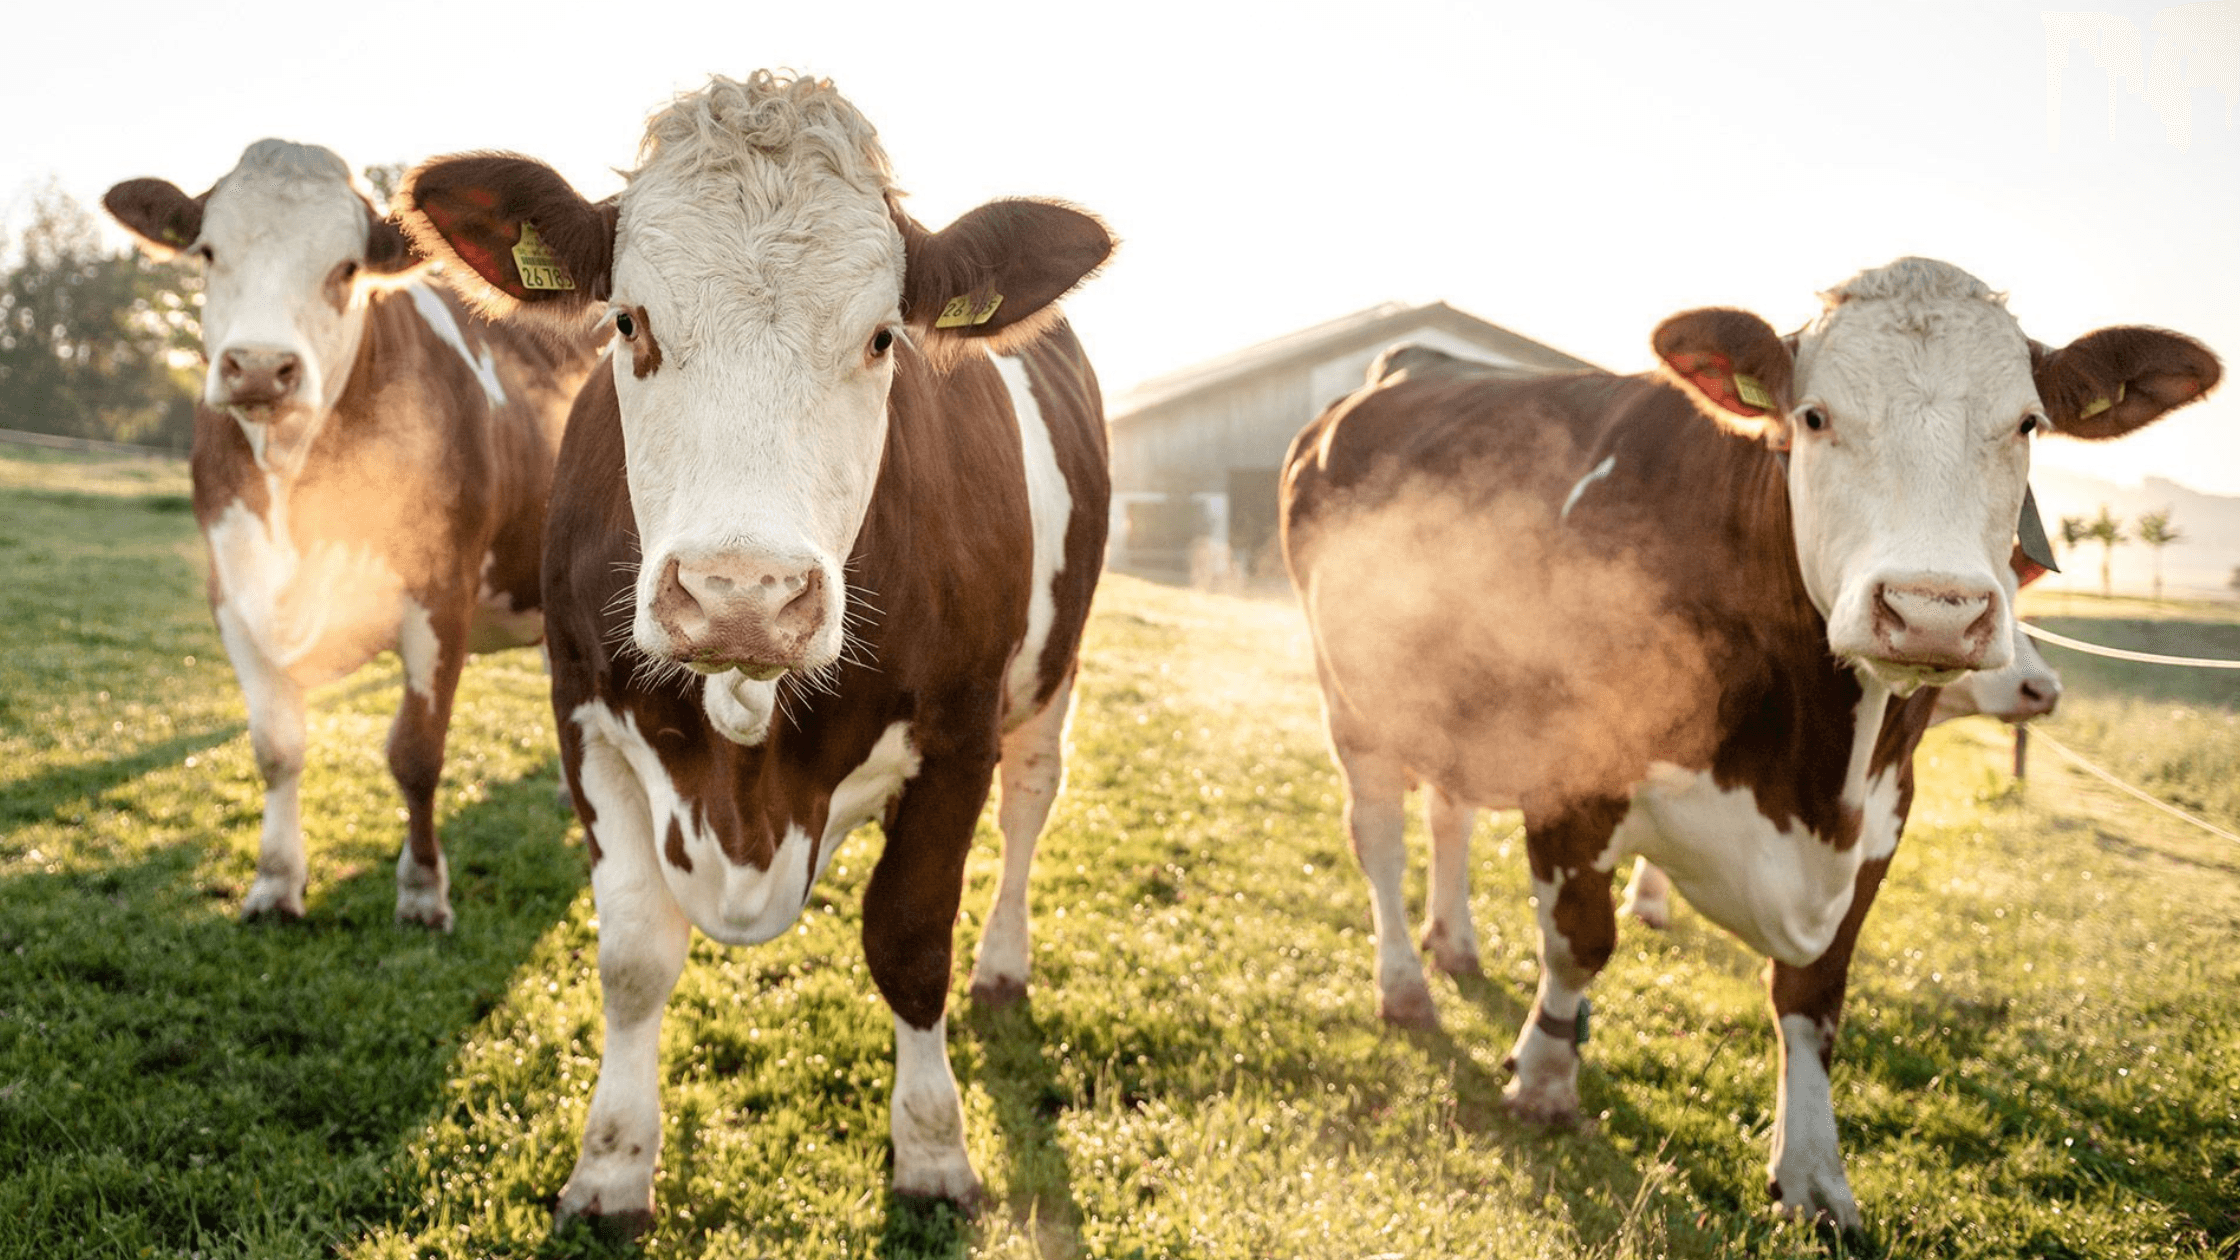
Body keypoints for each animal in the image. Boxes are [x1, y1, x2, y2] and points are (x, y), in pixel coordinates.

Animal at [103, 142, 595, 928]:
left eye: (346, 268)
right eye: (208, 251)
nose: (261, 367)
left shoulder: (440, 599)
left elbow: (415, 755)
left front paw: (422, 890)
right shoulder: (232, 594)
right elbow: (276, 748)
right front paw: (275, 882)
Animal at [394, 71, 1111, 1228]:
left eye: (882, 338)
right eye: (628, 321)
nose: (742, 594)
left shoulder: (958, 735)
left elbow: (912, 940)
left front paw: (932, 1151)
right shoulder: (585, 717)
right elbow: (632, 958)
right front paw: (611, 1164)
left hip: (1052, 673)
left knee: (1032, 802)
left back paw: (1005, 966)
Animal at [1281, 260, 2222, 1219]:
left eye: (2028, 422)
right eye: (1813, 416)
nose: (1932, 611)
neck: (1813, 775)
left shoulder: (1884, 816)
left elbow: (1812, 996)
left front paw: (1813, 1172)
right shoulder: (1575, 774)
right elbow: (1580, 942)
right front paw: (1543, 1078)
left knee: (1450, 815)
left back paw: (1456, 942)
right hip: (1353, 694)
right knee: (1382, 841)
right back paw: (1405, 986)